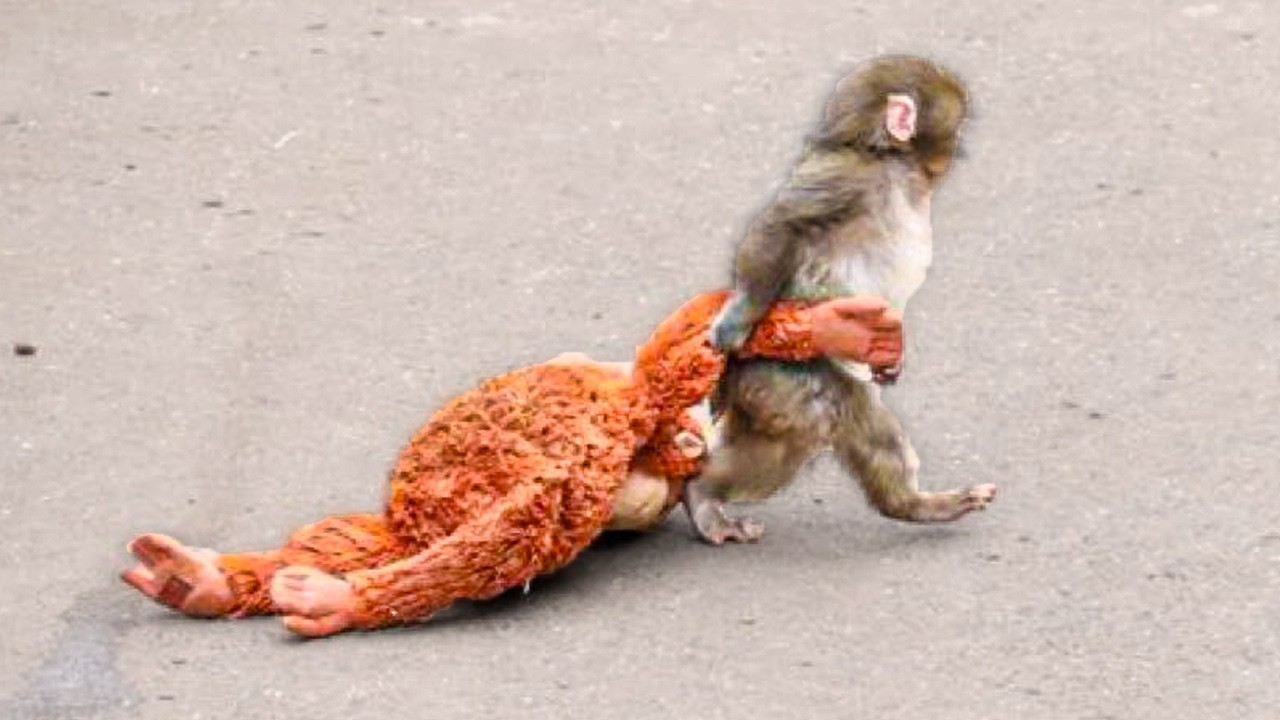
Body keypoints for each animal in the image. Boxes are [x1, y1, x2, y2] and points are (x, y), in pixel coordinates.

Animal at [684, 54, 997, 544]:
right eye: (957, 125)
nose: (957, 149)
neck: (887, 160)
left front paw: (891, 360)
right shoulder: (845, 180)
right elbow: (782, 225)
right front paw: (737, 319)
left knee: (791, 447)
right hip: (788, 375)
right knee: (843, 420)